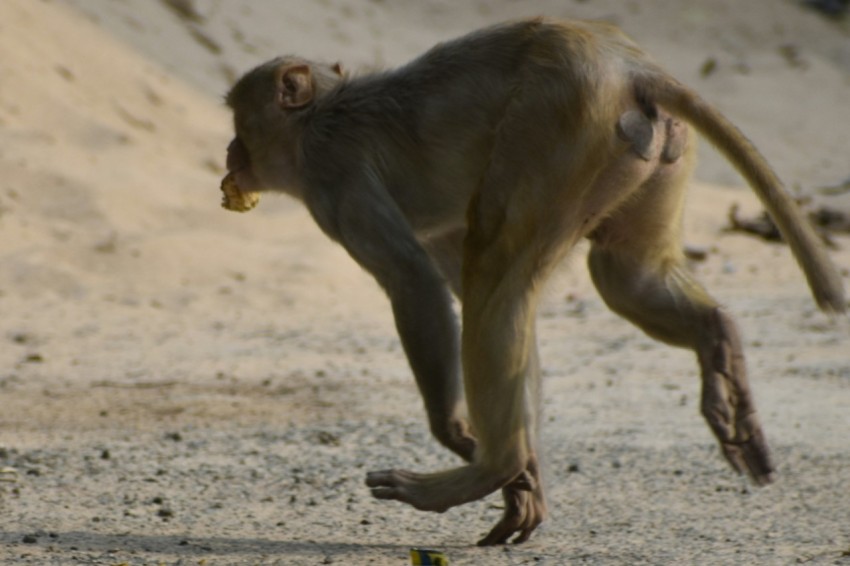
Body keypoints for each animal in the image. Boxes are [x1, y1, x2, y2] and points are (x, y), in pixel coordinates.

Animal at [222, 17, 844, 548]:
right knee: (622, 273)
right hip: (649, 148)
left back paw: (487, 466)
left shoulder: (333, 178)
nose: (228, 153)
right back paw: (717, 341)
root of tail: (631, 66)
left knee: (494, 268)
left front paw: (462, 436)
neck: (321, 118)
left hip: (560, 125)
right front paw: (526, 486)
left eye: (236, 120)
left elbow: (415, 281)